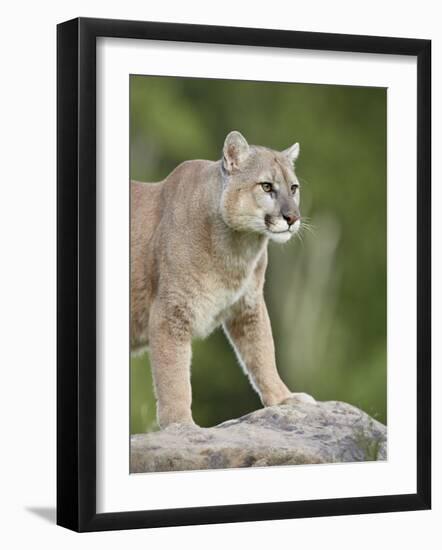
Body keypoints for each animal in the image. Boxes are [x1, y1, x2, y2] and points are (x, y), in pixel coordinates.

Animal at [131, 130, 314, 432]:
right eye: (266, 186)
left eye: (294, 188)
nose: (292, 217)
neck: (239, 246)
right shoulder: (171, 313)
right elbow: (174, 378)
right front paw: (181, 425)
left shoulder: (248, 306)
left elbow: (263, 354)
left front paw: (284, 398)